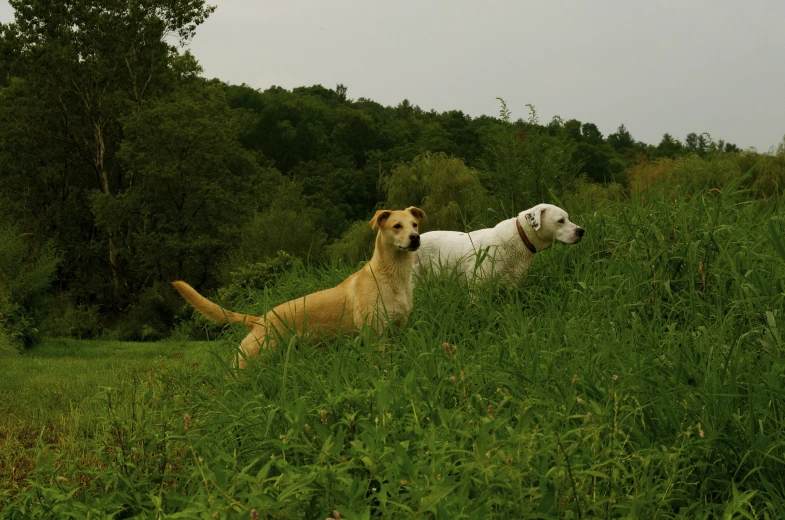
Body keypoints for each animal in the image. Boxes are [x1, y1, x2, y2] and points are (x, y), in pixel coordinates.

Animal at [175, 205, 426, 368]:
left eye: (414, 224)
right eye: (396, 226)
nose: (415, 237)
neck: (393, 277)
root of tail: (259, 320)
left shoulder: (397, 330)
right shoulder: (375, 335)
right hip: (248, 361)